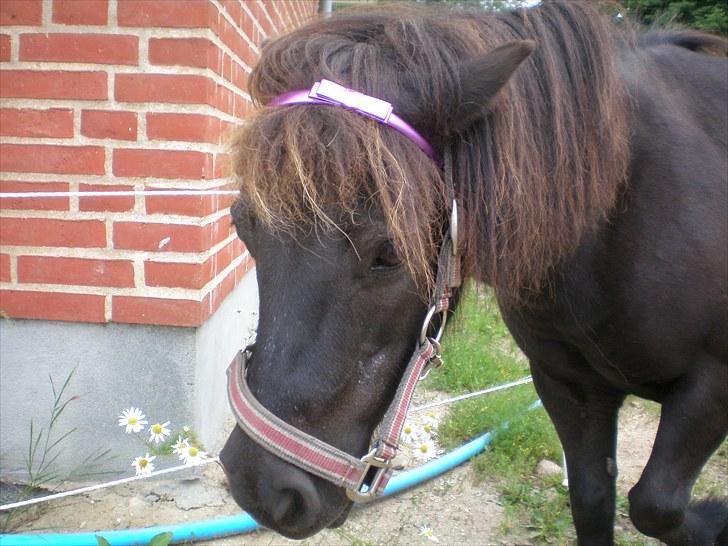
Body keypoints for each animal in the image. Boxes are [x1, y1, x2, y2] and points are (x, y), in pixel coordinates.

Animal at [219, 3, 728, 545]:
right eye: (242, 224)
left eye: (389, 253)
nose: (261, 488)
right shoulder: (566, 384)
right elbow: (592, 500)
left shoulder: (711, 387)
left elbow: (656, 505)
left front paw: (714, 517)